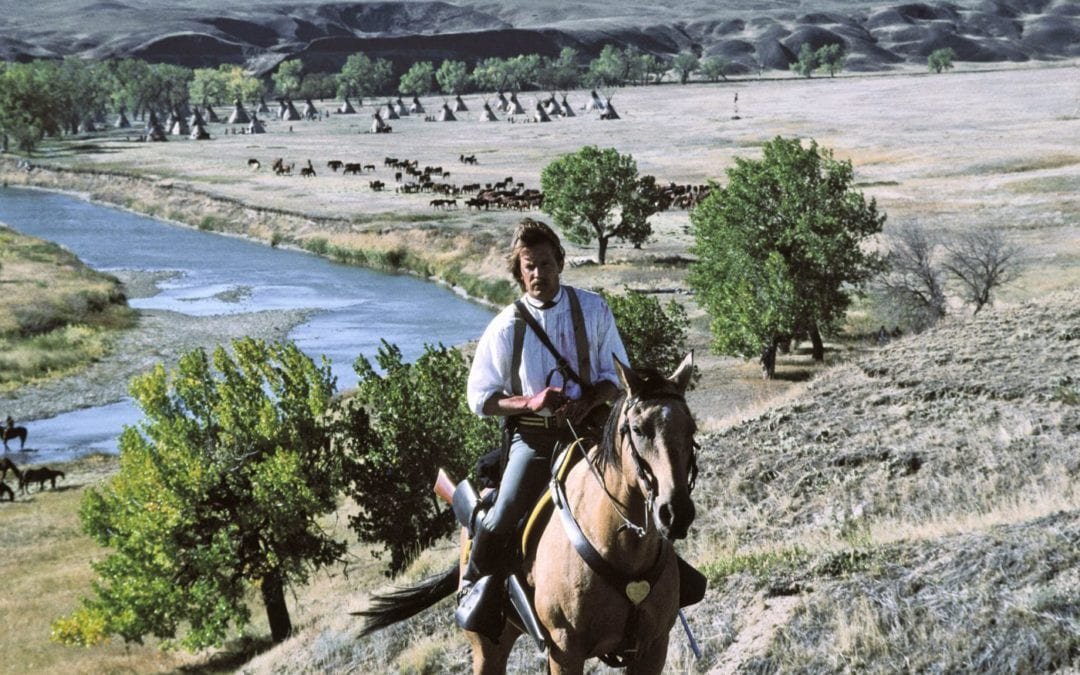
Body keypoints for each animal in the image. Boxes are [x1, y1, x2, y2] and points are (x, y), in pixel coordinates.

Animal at [354, 352, 699, 673]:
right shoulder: (565, 651)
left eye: (691, 427)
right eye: (638, 429)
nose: (675, 513)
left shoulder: (653, 647)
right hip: (488, 646)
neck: (619, 545)